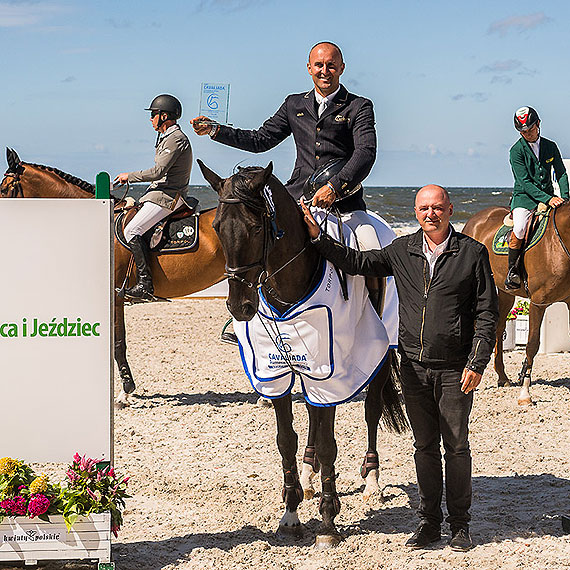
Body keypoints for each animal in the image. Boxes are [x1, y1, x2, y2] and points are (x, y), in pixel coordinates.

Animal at [197, 159, 406, 544]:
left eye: (254, 227)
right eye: (217, 227)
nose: (240, 306)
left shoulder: (332, 374)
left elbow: (328, 442)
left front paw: (328, 521)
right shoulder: (277, 373)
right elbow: (286, 440)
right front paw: (291, 513)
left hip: (380, 356)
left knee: (370, 411)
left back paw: (371, 481)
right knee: (311, 419)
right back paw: (310, 475)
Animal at [462, 204, 568, 404]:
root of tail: (475, 219)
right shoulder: (538, 303)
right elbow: (532, 344)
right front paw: (525, 393)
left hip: (505, 293)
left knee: (498, 328)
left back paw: (502, 377)